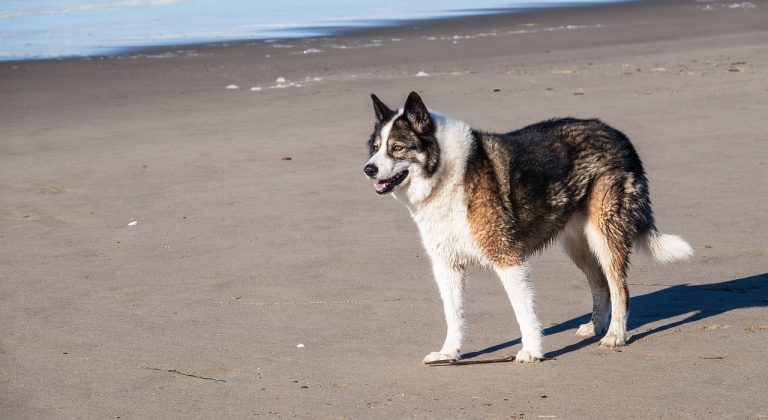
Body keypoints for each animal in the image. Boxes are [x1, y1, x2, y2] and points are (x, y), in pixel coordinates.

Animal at [364, 92, 692, 364]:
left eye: (397, 148)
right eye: (376, 148)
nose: (368, 169)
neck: (445, 173)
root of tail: (618, 136)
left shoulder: (507, 258)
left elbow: (523, 311)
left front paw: (532, 351)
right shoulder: (447, 266)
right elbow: (453, 314)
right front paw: (449, 354)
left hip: (604, 235)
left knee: (619, 287)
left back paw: (616, 335)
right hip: (578, 244)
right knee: (600, 284)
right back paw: (597, 326)